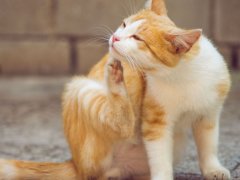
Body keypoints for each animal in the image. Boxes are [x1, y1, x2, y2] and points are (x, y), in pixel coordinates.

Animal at [0, 0, 232, 180]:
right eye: (124, 24)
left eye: (137, 38)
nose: (115, 38)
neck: (182, 74)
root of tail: (75, 163)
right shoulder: (155, 124)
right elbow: (159, 157)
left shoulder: (210, 115)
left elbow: (208, 145)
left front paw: (213, 169)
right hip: (80, 89)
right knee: (123, 125)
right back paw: (115, 77)